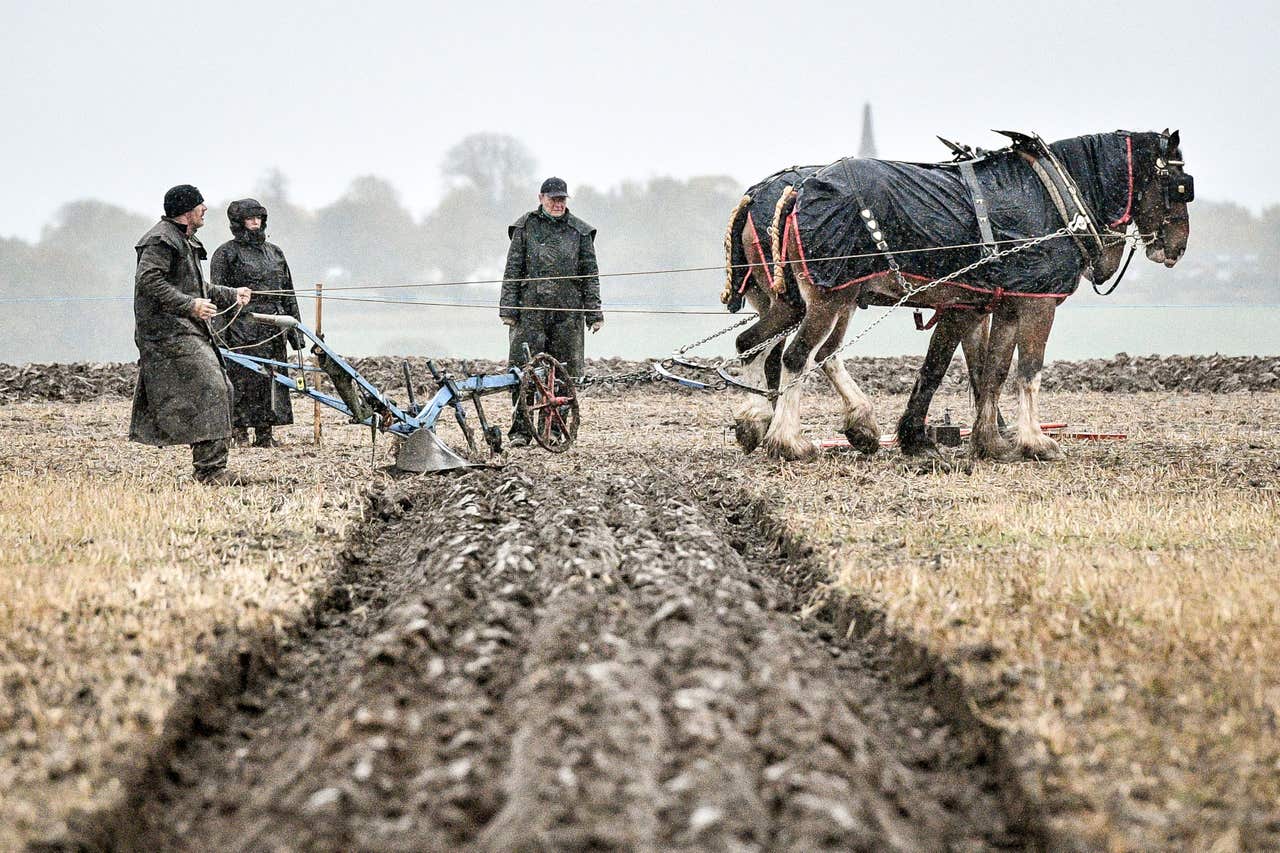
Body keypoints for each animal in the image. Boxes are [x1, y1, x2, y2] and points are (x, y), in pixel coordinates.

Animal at [757, 128, 1187, 458]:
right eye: (1180, 187)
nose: (1179, 246)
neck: (1053, 196)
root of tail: (798, 191)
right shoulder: (1037, 304)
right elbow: (1028, 371)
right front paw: (1036, 441)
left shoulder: (999, 305)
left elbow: (986, 371)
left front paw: (987, 441)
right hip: (828, 299)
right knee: (796, 357)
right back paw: (788, 441)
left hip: (826, 300)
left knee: (793, 352)